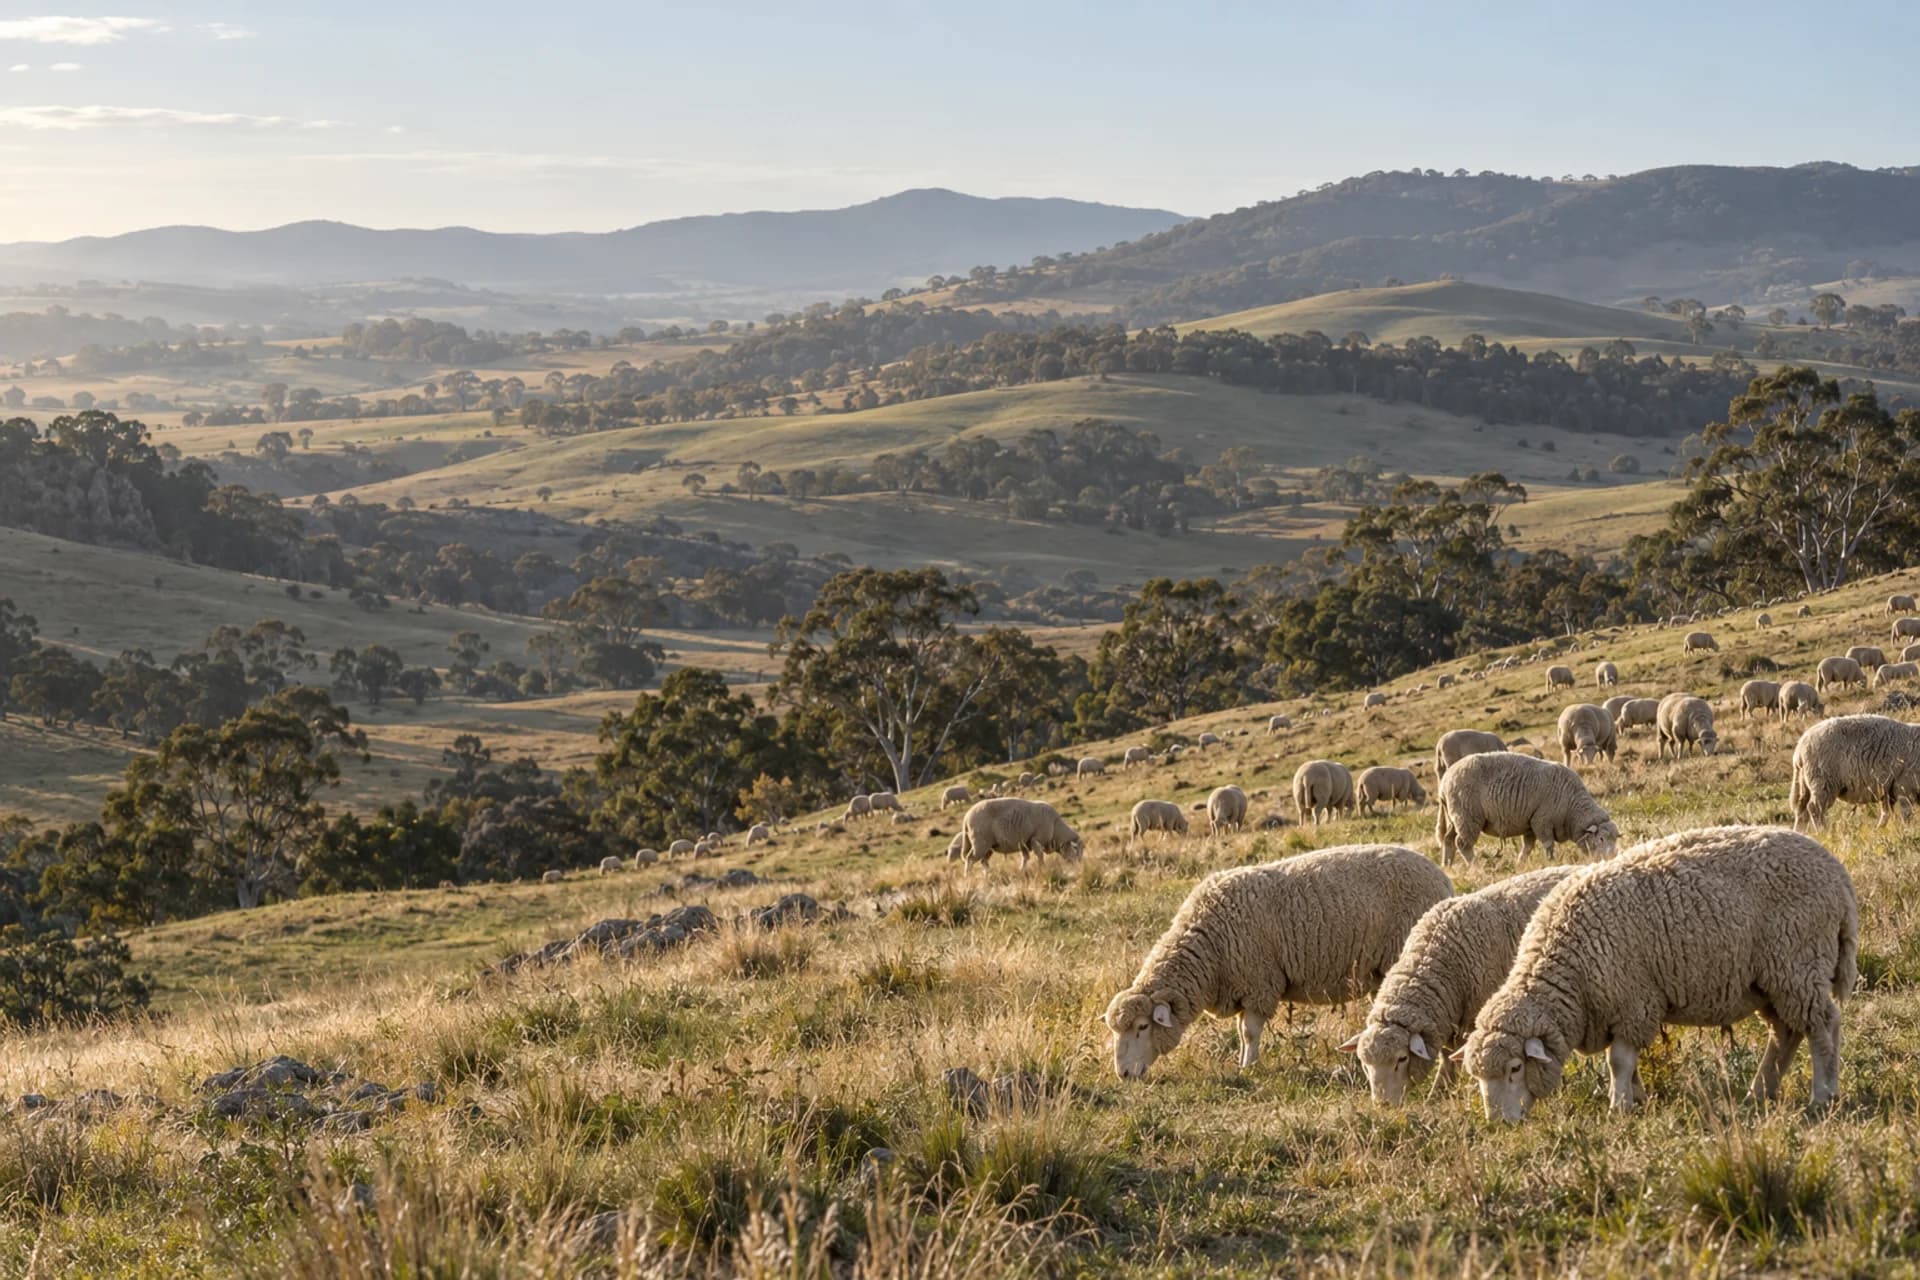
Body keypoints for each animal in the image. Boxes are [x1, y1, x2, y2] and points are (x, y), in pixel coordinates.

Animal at [1102, 845, 1453, 1078]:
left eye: (1142, 1026)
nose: (1123, 1075)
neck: (1208, 947)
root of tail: (1441, 877)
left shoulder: (1259, 983)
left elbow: (1249, 1032)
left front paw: (1249, 1066)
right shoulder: (1243, 987)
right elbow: (1242, 1031)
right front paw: (1243, 1063)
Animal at [1340, 865, 1583, 1103]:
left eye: (1402, 1058)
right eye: (1365, 1064)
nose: (1383, 1105)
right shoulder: (1448, 1017)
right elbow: (1447, 1054)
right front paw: (1441, 1090)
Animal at [1434, 751, 1618, 866]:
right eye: (1601, 839)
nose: (1612, 858)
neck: (1572, 808)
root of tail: (1444, 782)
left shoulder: (1530, 823)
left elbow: (1527, 847)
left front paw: (1520, 863)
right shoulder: (1542, 821)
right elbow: (1548, 845)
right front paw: (1551, 862)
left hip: (1454, 818)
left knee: (1448, 840)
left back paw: (1447, 865)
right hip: (1467, 816)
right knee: (1462, 843)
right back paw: (1475, 866)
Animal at [1459, 826, 1856, 1121]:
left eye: (1515, 1068)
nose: (1498, 1122)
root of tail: (1837, 873)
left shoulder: (1633, 1003)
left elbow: (1618, 1061)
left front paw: (1618, 1106)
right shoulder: (1615, 1010)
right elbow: (1627, 1063)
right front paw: (1635, 1097)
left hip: (1799, 963)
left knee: (1823, 1026)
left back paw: (1822, 1094)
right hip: (1772, 980)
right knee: (1786, 1032)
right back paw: (1760, 1091)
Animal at [1790, 714, 1920, 828]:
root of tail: (1800, 748)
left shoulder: (1888, 791)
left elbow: (1885, 814)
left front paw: (1879, 830)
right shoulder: (1904, 787)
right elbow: (1906, 814)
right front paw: (1906, 830)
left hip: (1805, 781)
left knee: (1802, 811)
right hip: (1824, 780)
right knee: (1815, 808)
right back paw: (1823, 831)